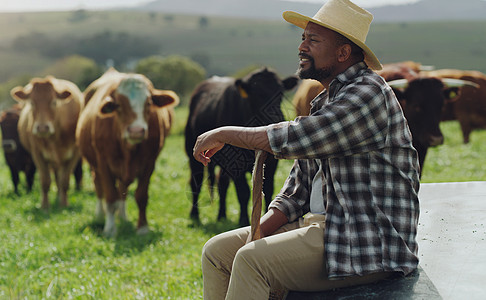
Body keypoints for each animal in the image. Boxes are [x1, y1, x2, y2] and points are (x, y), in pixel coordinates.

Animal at [11, 76, 83, 207]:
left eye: (54, 102)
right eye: (32, 103)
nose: (42, 128)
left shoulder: (74, 154)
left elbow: (65, 180)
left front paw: (64, 204)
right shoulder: (37, 154)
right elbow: (45, 181)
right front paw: (45, 206)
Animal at [77, 68, 179, 237]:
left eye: (148, 103)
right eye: (118, 105)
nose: (136, 131)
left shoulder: (149, 163)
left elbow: (141, 196)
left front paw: (143, 228)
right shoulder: (104, 163)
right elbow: (111, 198)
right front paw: (110, 229)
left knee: (122, 190)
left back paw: (123, 217)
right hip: (94, 166)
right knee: (99, 187)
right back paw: (100, 215)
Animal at [186, 67, 300, 226]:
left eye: (281, 93)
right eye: (256, 94)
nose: (276, 117)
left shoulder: (271, 162)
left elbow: (268, 189)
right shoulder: (235, 164)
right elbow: (243, 192)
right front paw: (244, 220)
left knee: (222, 183)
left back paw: (221, 216)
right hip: (192, 154)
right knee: (196, 181)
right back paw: (195, 215)